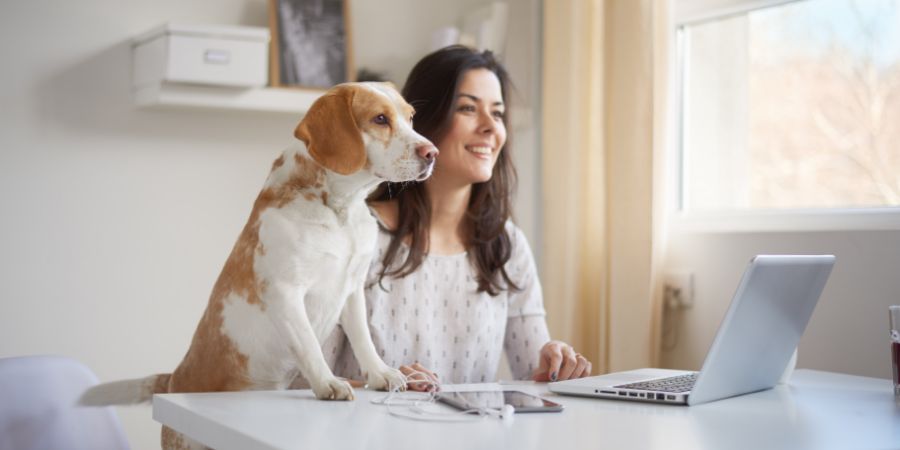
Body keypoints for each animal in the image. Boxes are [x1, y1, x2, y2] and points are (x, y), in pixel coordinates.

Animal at [82, 82, 442, 448]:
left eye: (411, 117)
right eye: (380, 119)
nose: (433, 153)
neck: (339, 210)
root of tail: (172, 381)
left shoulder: (352, 289)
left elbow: (363, 340)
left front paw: (380, 374)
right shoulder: (286, 291)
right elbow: (310, 345)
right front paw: (328, 383)